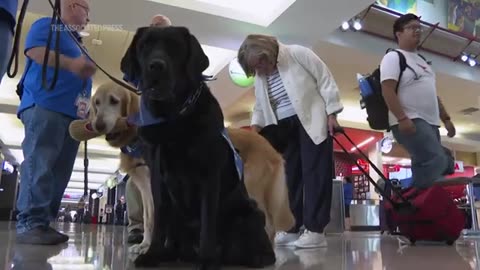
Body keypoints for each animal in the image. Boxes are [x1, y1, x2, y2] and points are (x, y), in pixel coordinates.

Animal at [88, 81, 294, 248]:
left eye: (114, 101)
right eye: (96, 103)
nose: (97, 125)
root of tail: (270, 147)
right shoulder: (145, 188)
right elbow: (148, 218)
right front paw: (145, 245)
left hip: (250, 187)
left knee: (267, 222)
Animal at [120, 25, 276, 270]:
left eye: (175, 46)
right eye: (144, 45)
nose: (156, 66)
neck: (174, 117)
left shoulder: (209, 174)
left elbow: (207, 221)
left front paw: (208, 260)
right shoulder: (157, 176)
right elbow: (159, 217)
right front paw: (152, 253)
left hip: (251, 212)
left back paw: (253, 257)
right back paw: (171, 253)